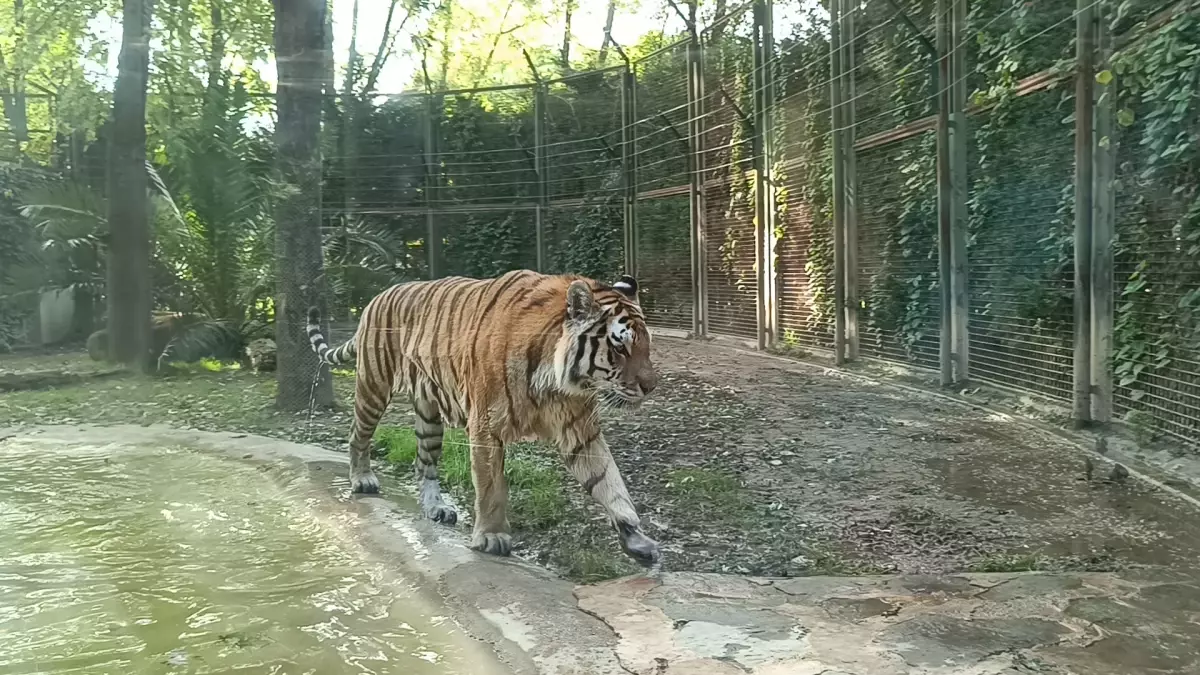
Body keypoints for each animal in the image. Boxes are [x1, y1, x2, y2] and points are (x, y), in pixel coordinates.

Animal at [304, 267, 662, 562]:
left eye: (646, 344)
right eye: (620, 347)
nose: (651, 386)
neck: (556, 380)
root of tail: (375, 298)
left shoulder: (579, 429)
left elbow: (609, 482)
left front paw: (636, 537)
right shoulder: (485, 425)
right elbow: (490, 485)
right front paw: (491, 537)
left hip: (429, 417)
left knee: (423, 463)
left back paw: (437, 507)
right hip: (373, 386)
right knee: (357, 435)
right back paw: (362, 479)